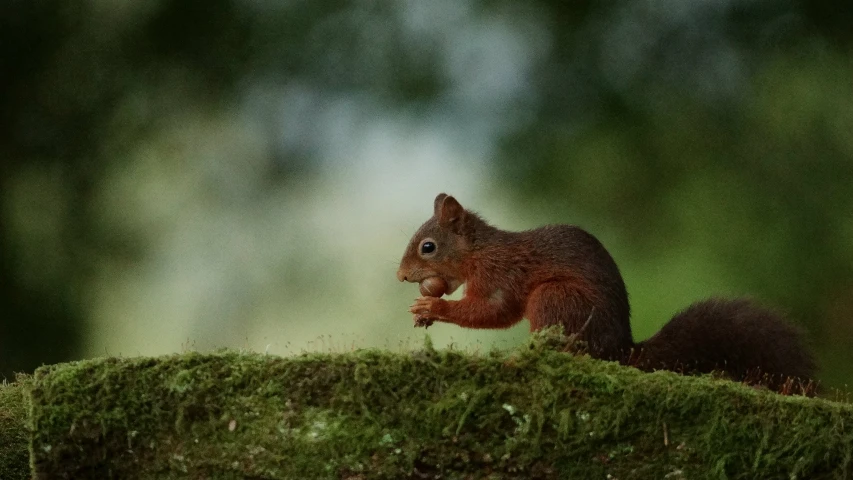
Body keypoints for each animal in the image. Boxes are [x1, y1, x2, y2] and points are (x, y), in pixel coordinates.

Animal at [396, 193, 816, 392]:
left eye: (428, 247)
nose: (400, 276)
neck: (479, 252)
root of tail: (620, 351)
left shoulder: (500, 276)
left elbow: (493, 311)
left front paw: (432, 306)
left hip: (556, 298)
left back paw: (520, 359)